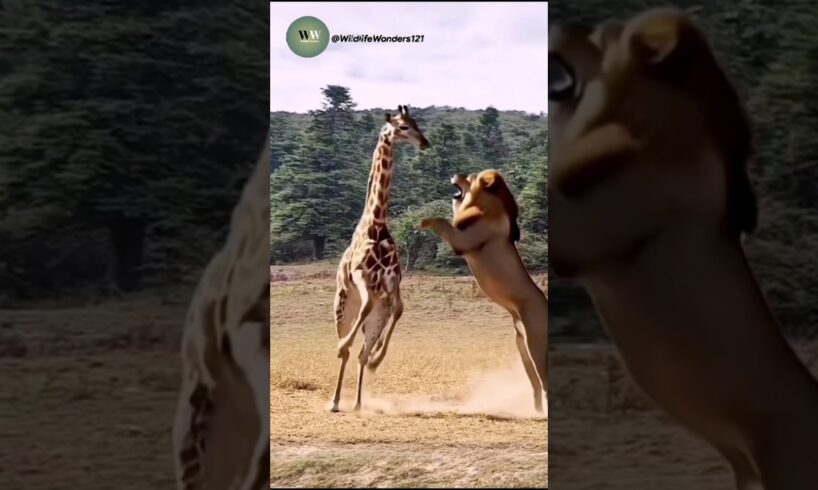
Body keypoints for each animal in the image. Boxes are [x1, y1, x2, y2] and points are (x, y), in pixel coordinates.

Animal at [331, 104, 430, 413]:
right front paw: (346, 348)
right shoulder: (362, 276)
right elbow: (364, 310)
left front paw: (377, 359)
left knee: (361, 352)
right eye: (402, 127)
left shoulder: (391, 283)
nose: (425, 143)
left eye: (416, 122)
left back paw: (358, 403)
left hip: (377, 318)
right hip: (342, 307)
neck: (376, 224)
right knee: (347, 346)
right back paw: (335, 401)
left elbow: (400, 309)